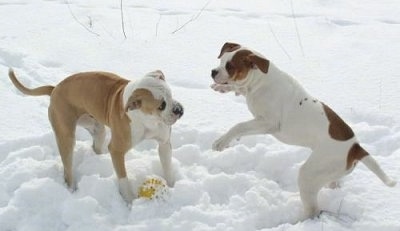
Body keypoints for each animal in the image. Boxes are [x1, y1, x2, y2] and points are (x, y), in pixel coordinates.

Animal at [9, 68, 184, 202]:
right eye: (161, 105)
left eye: (171, 94)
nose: (179, 110)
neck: (147, 119)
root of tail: (54, 89)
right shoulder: (117, 150)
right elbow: (123, 179)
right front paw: (130, 201)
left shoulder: (164, 143)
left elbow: (167, 167)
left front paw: (172, 186)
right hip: (66, 136)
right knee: (67, 170)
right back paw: (72, 190)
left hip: (98, 129)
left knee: (95, 146)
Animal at [211, 42, 396, 220]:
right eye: (221, 60)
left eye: (230, 66)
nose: (213, 72)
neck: (261, 81)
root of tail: (355, 147)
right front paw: (221, 88)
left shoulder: (268, 123)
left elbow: (239, 126)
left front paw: (221, 142)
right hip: (329, 173)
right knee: (332, 184)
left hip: (310, 173)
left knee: (312, 209)